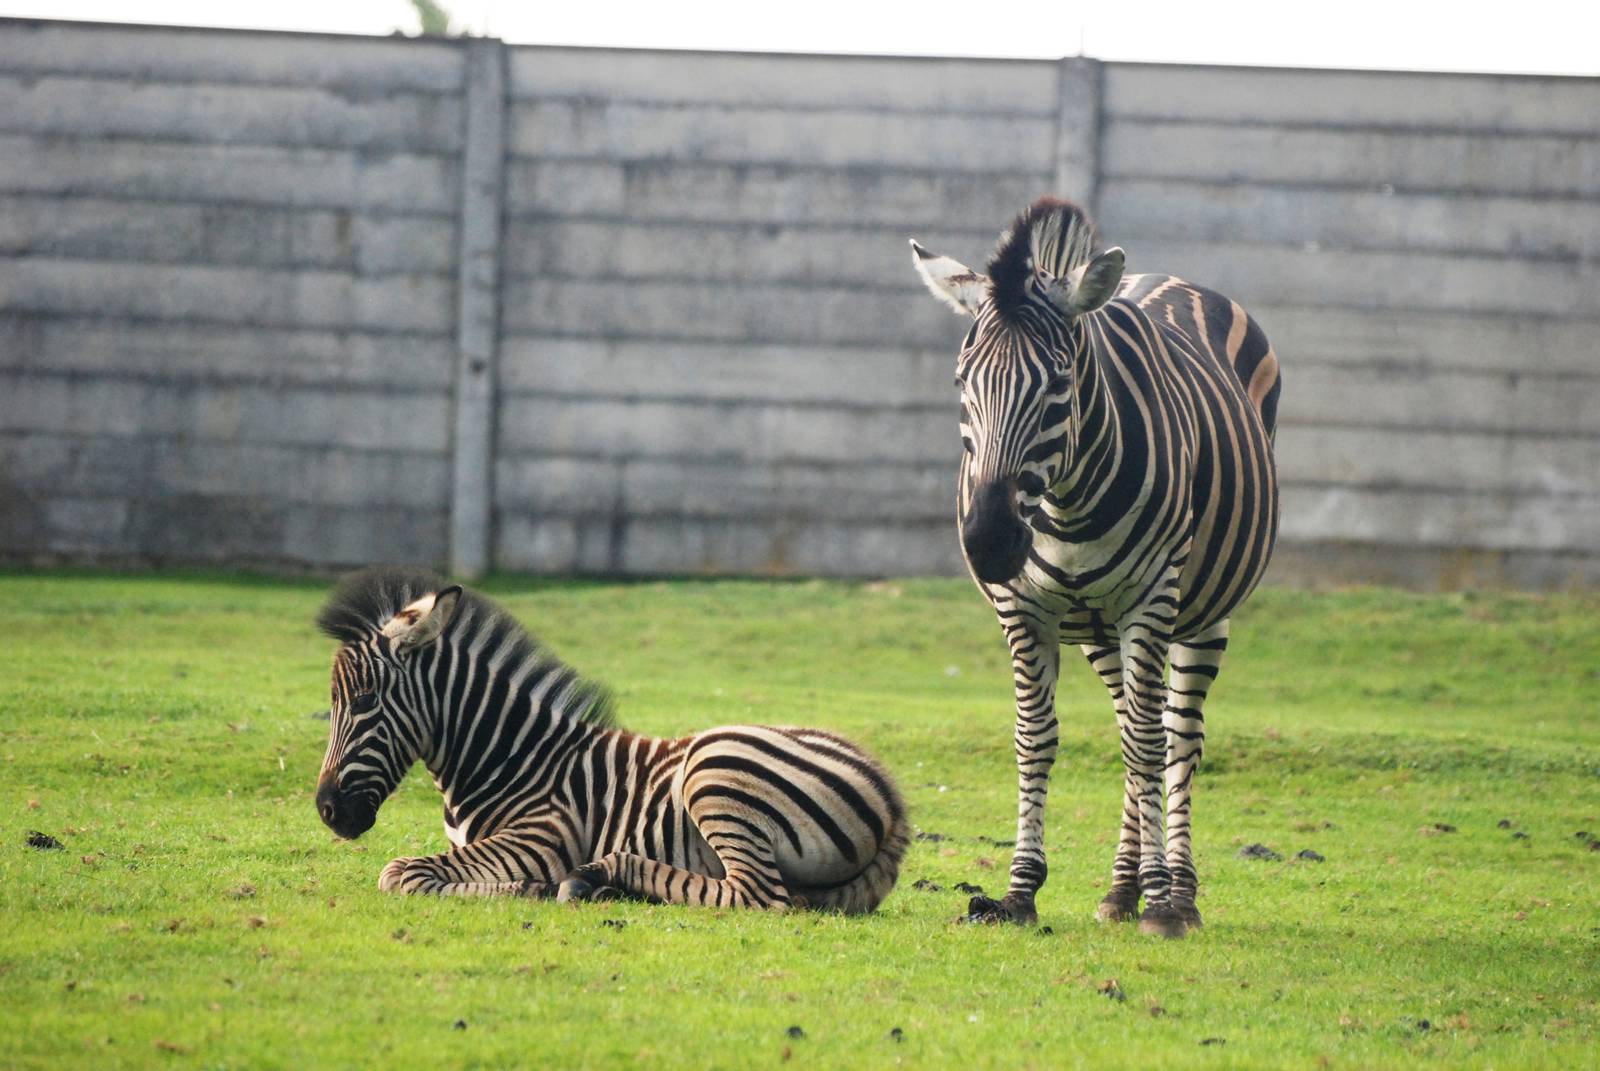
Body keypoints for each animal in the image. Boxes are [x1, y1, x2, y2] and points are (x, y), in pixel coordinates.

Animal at [313, 567, 908, 912]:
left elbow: (401, 872)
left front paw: (530, 887)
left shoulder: (542, 837)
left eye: (364, 702)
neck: (510, 757)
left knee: (757, 896)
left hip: (715, 766)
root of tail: (893, 797)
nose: (326, 810)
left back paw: (595, 877)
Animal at [909, 197, 1280, 936]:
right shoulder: (1022, 607)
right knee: (1130, 724)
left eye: (1057, 385)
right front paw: (1019, 891)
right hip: (1098, 629)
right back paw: (1120, 887)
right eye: (962, 382)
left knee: (1176, 736)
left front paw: (1163, 903)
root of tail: (1167, 278)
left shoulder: (1151, 599)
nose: (988, 542)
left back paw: (1176, 888)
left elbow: (1150, 744)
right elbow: (1036, 738)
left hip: (1200, 613)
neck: (1065, 502)